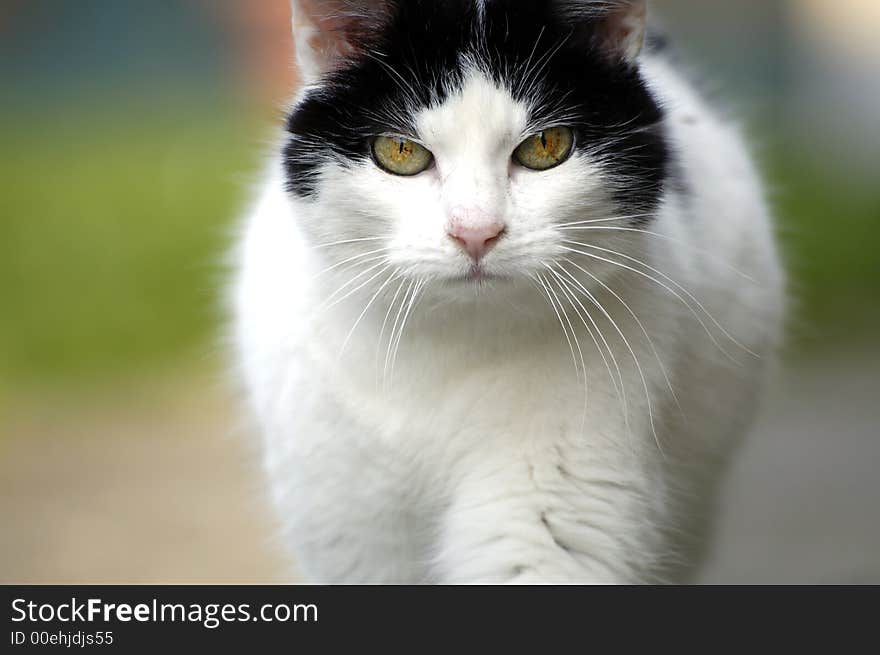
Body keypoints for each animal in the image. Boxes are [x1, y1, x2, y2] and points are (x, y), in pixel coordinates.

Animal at [232, 0, 784, 584]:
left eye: (546, 146)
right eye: (400, 151)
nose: (476, 232)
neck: (445, 351)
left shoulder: (557, 496)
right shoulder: (346, 525)